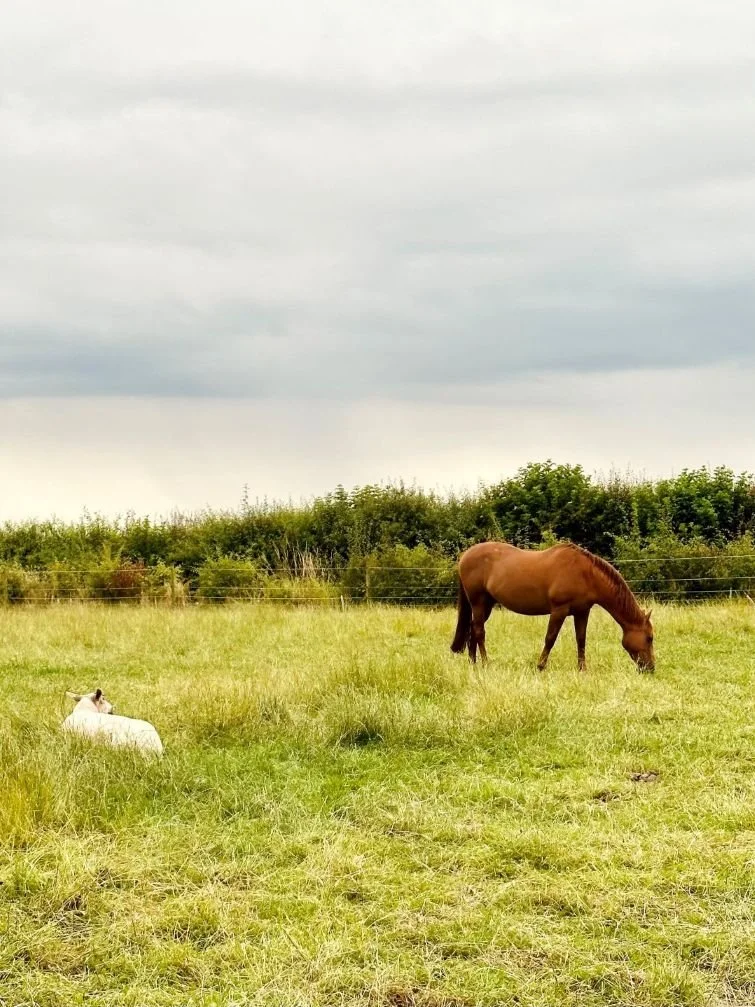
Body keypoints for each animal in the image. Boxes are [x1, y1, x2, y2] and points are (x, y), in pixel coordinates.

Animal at [450, 541, 655, 671]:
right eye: (649, 638)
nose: (651, 668)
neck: (586, 574)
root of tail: (465, 556)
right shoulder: (559, 610)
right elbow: (550, 638)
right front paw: (540, 666)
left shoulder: (582, 612)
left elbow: (581, 640)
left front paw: (582, 669)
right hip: (478, 602)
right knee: (479, 632)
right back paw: (485, 664)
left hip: (486, 604)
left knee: (472, 629)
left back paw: (473, 663)